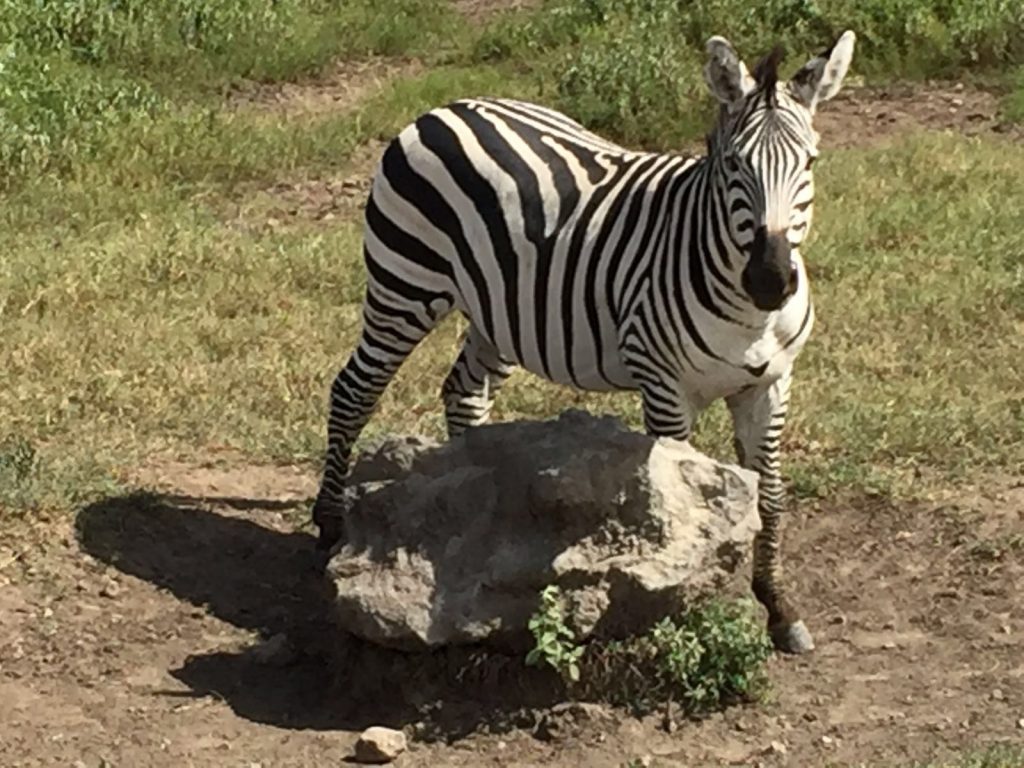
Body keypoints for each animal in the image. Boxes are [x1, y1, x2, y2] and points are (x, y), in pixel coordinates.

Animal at [312, 31, 857, 655]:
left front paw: (778, 607)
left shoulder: (769, 385)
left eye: (810, 163)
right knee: (353, 391)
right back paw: (330, 522)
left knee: (464, 391)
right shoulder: (664, 387)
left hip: (500, 311)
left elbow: (771, 498)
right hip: (403, 286)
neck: (749, 316)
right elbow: (680, 510)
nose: (770, 279)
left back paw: (471, 504)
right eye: (734, 165)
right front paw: (679, 621)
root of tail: (447, 108)